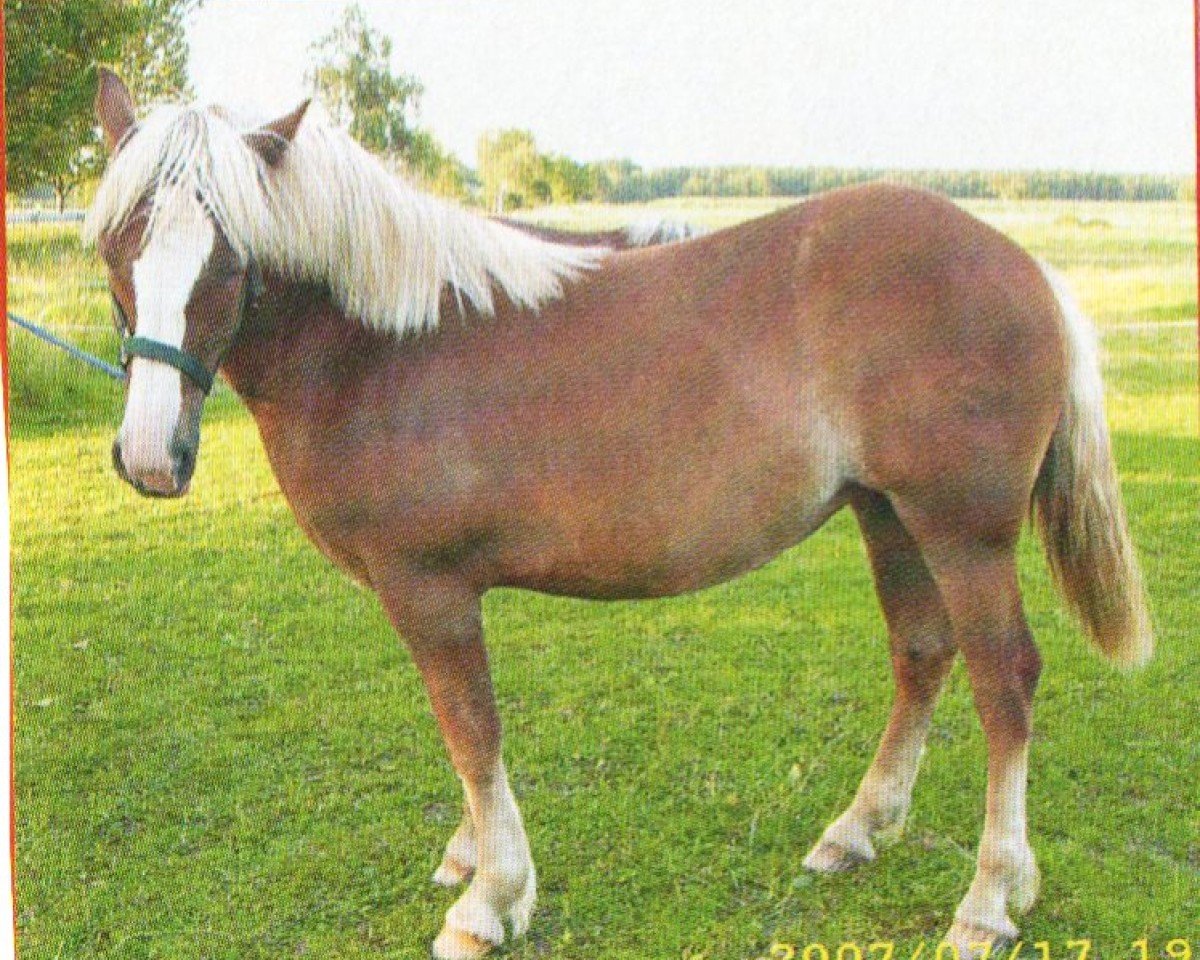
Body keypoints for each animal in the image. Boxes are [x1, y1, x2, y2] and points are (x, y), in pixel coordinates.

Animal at [86, 69, 1151, 960]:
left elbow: (469, 727)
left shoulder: (428, 589)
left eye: (231, 256)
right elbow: (465, 733)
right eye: (116, 244)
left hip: (963, 532)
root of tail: (1027, 268)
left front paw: (489, 900)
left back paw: (990, 898)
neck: (382, 342)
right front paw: (472, 857)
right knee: (923, 655)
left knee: (1005, 683)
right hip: (890, 516)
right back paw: (858, 831)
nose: (150, 456)